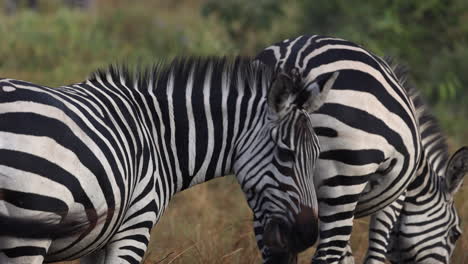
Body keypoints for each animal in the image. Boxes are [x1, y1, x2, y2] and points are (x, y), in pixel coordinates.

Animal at [0, 57, 336, 264]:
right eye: (285, 154)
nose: (309, 234)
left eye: (318, 155)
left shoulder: (100, 239)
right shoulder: (135, 225)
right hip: (27, 231)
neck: (159, 134)